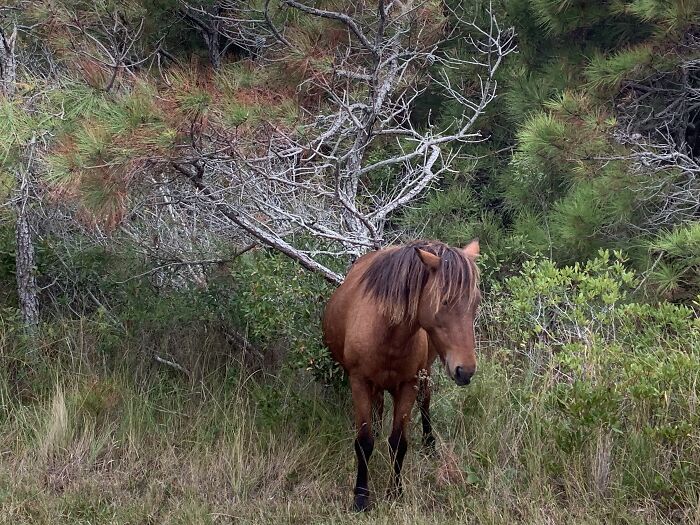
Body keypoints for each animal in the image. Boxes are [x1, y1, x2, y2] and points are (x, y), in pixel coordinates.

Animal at [322, 239, 481, 511]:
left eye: (475, 302)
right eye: (445, 301)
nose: (466, 370)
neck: (387, 332)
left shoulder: (409, 385)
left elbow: (398, 443)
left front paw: (395, 491)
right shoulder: (359, 382)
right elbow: (364, 442)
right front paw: (361, 497)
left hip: (425, 373)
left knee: (425, 403)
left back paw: (429, 444)